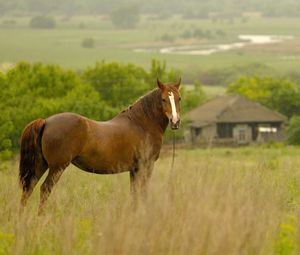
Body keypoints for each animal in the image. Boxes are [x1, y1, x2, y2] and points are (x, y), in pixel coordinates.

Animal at [19, 78, 182, 214]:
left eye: (179, 98)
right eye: (163, 99)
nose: (175, 122)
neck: (142, 123)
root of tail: (46, 121)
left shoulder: (134, 169)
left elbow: (134, 193)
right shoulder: (145, 165)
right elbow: (142, 192)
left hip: (41, 164)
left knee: (28, 188)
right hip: (57, 167)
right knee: (44, 189)